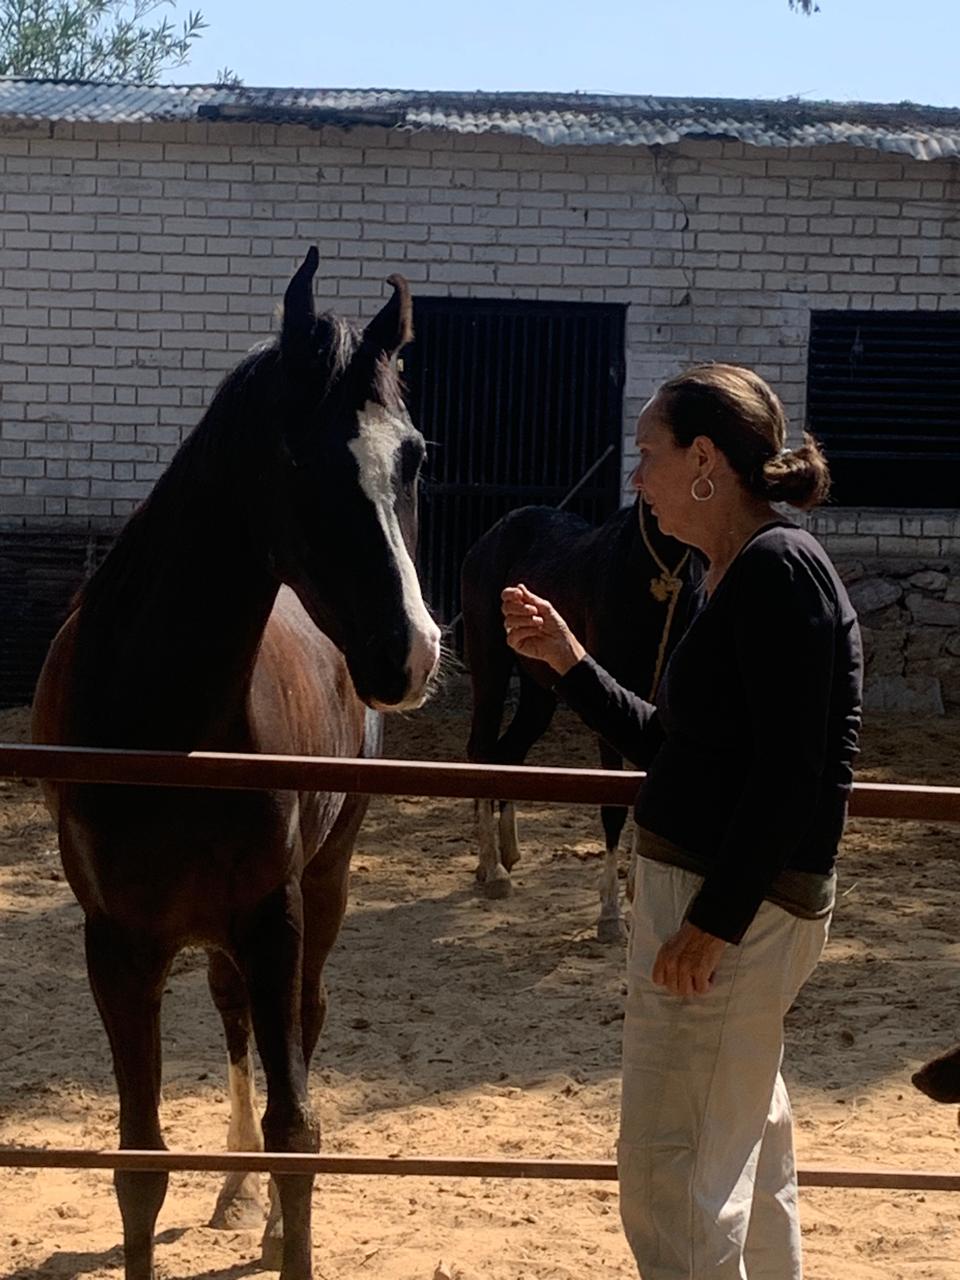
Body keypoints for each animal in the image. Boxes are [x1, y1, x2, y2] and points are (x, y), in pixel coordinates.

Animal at [30, 249, 441, 1280]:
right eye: (298, 459)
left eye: (413, 455)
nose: (409, 653)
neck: (160, 718)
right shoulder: (118, 943)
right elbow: (139, 1159)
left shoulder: (273, 916)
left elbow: (301, 1132)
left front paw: (283, 1227)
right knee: (234, 1019)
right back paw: (232, 1187)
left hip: (320, 886)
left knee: (302, 1015)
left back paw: (256, 1208)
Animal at [461, 496, 699, 942]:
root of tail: (489, 537)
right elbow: (613, 805)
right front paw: (610, 916)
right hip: (491, 669)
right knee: (482, 750)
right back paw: (495, 870)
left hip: (540, 692)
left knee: (509, 752)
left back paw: (505, 854)